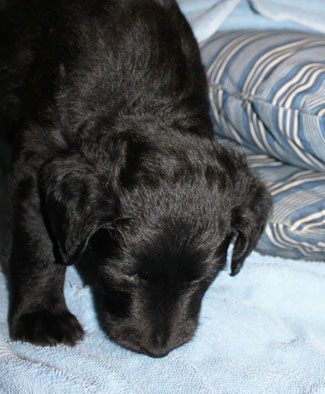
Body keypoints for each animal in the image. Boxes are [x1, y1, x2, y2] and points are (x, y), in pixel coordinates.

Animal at [1, 0, 270, 358]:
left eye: (203, 278)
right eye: (126, 274)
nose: (158, 350)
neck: (147, 107)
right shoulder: (37, 162)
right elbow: (40, 246)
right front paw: (42, 318)